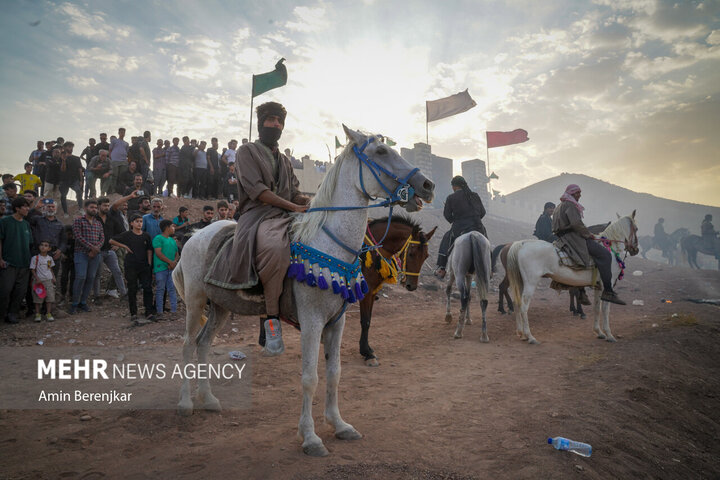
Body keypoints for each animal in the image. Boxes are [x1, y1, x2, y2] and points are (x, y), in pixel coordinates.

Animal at [358, 216, 436, 366]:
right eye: (411, 254)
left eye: (426, 256)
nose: (412, 286)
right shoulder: (365, 292)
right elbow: (365, 321)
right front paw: (367, 353)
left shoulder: (373, 291)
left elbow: (369, 319)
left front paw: (368, 349)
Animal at [504, 212, 640, 344]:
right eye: (637, 229)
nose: (636, 249)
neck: (611, 249)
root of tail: (522, 244)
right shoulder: (607, 285)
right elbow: (605, 310)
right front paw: (609, 335)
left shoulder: (598, 287)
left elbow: (597, 308)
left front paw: (599, 332)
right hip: (531, 283)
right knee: (524, 306)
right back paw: (530, 336)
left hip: (521, 282)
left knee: (516, 303)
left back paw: (521, 334)